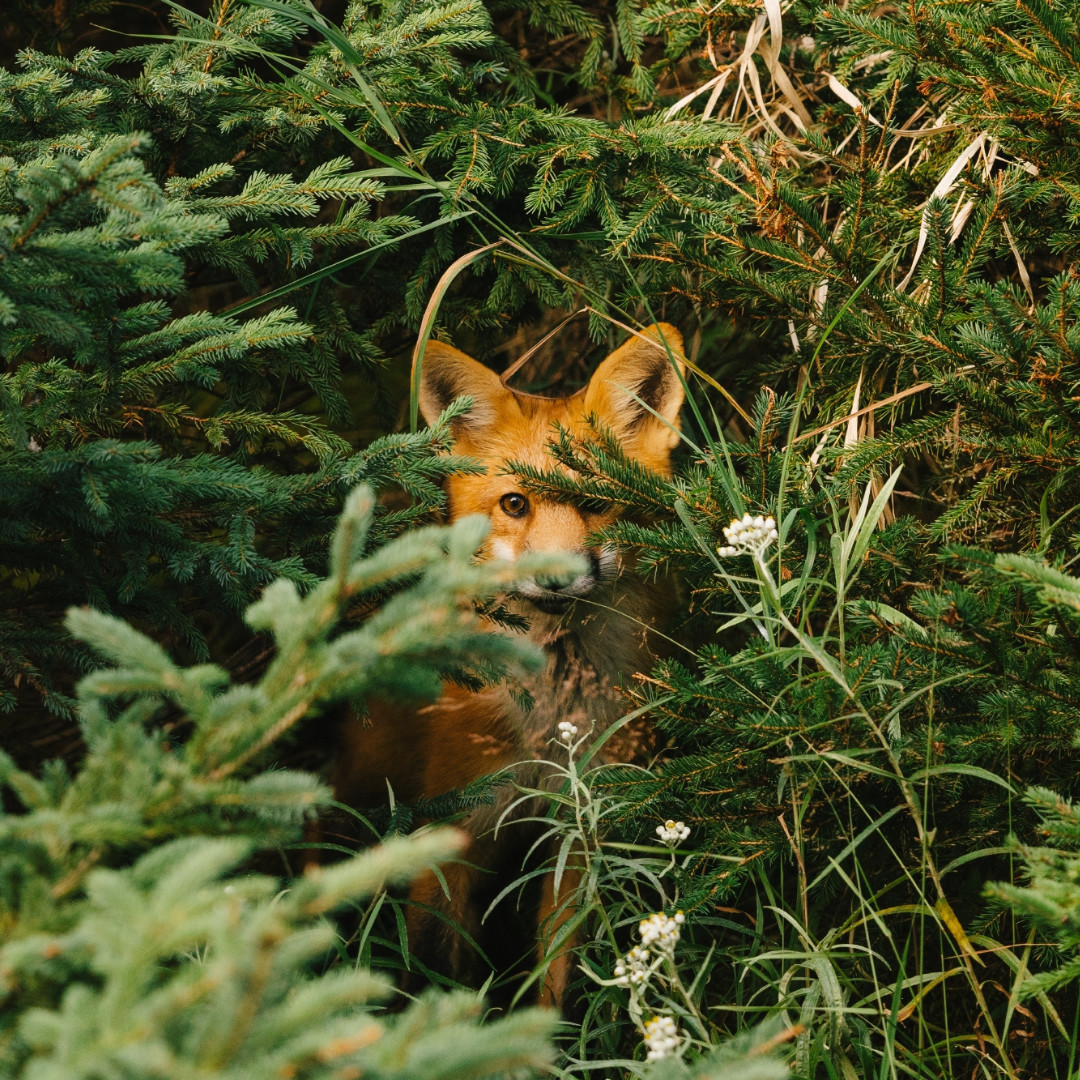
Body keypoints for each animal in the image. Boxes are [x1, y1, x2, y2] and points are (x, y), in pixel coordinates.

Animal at [332, 322, 686, 1004]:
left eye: (596, 502)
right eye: (516, 503)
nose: (556, 578)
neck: (546, 721)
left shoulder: (576, 833)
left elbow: (556, 976)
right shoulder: (450, 829)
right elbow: (438, 967)